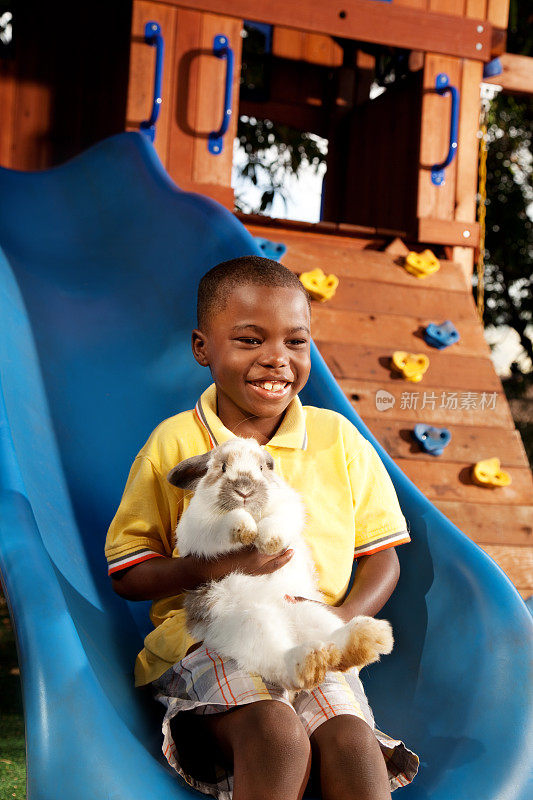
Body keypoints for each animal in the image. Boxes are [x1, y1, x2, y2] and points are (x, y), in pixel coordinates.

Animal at [168, 438, 392, 692]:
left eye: (262, 468)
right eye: (222, 468)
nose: (244, 491)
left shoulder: (288, 510)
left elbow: (276, 522)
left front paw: (269, 542)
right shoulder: (200, 531)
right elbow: (225, 525)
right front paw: (246, 531)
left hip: (308, 610)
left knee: (336, 648)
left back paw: (368, 637)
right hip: (252, 622)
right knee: (282, 666)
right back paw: (310, 661)